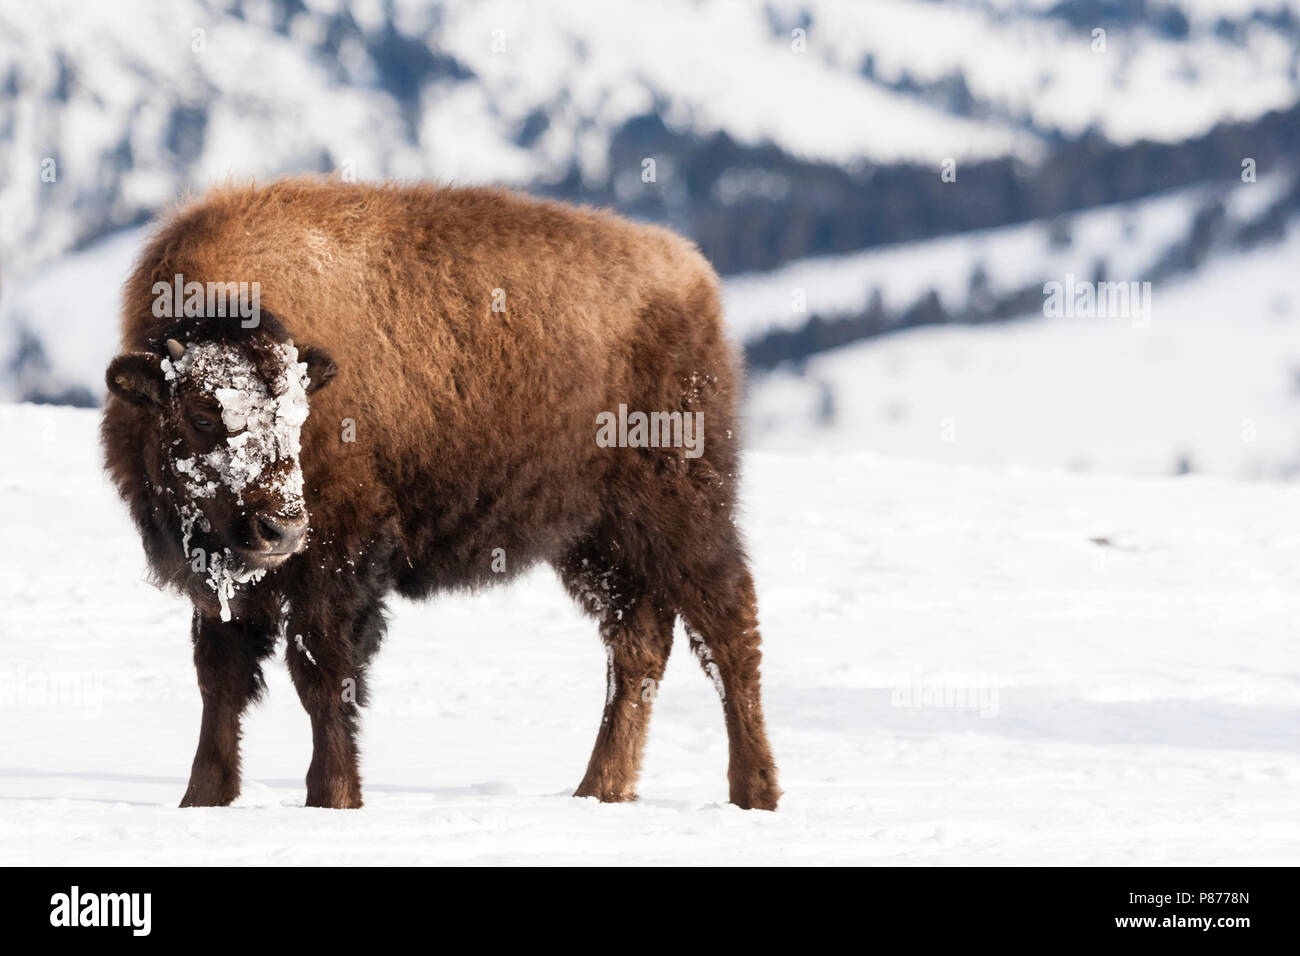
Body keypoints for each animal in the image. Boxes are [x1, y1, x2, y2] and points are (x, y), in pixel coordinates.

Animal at [102, 178, 780, 811]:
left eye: (297, 413)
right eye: (201, 414)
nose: (281, 530)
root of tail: (691, 276)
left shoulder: (338, 564)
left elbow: (323, 675)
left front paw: (333, 797)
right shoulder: (222, 584)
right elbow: (221, 679)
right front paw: (203, 799)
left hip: (682, 513)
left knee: (728, 631)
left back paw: (755, 791)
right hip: (594, 540)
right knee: (638, 645)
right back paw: (600, 790)